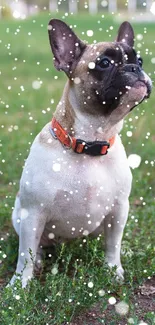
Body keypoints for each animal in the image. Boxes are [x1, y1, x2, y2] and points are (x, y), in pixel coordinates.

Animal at [8, 19, 151, 286]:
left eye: (140, 60)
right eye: (104, 63)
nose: (134, 68)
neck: (90, 142)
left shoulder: (119, 208)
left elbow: (113, 244)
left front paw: (113, 269)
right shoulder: (33, 212)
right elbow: (25, 253)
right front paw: (20, 284)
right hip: (20, 216)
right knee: (35, 246)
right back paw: (40, 259)